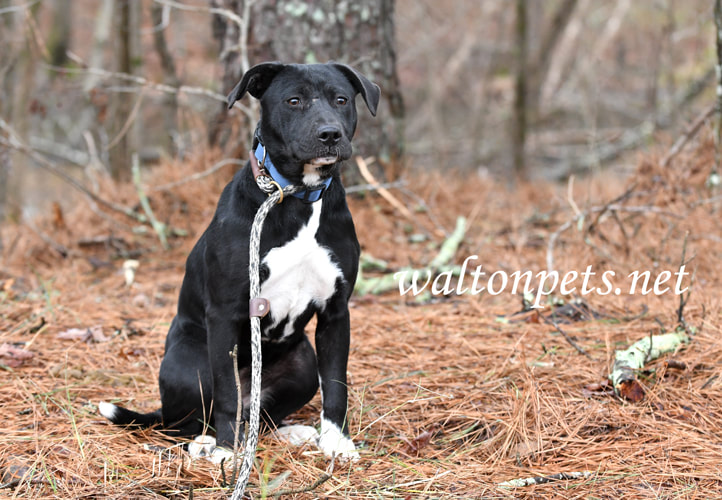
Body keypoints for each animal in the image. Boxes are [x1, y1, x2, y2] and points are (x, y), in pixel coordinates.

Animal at [102, 61, 382, 460]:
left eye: (341, 99)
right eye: (293, 100)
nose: (330, 133)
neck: (297, 195)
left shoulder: (336, 311)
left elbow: (336, 383)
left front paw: (337, 442)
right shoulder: (225, 315)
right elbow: (226, 393)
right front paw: (226, 451)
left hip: (302, 364)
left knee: (260, 414)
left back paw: (287, 431)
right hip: (191, 363)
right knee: (188, 419)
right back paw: (205, 442)